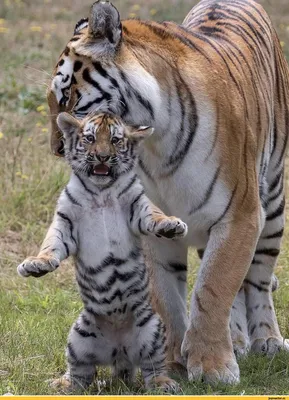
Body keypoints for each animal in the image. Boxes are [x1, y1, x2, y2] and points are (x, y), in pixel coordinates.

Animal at [47, 0, 288, 384]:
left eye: (68, 96)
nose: (58, 148)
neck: (157, 143)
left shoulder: (240, 216)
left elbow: (214, 288)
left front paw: (212, 366)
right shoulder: (151, 226)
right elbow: (168, 298)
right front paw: (173, 362)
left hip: (273, 205)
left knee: (259, 279)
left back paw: (267, 340)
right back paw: (236, 341)